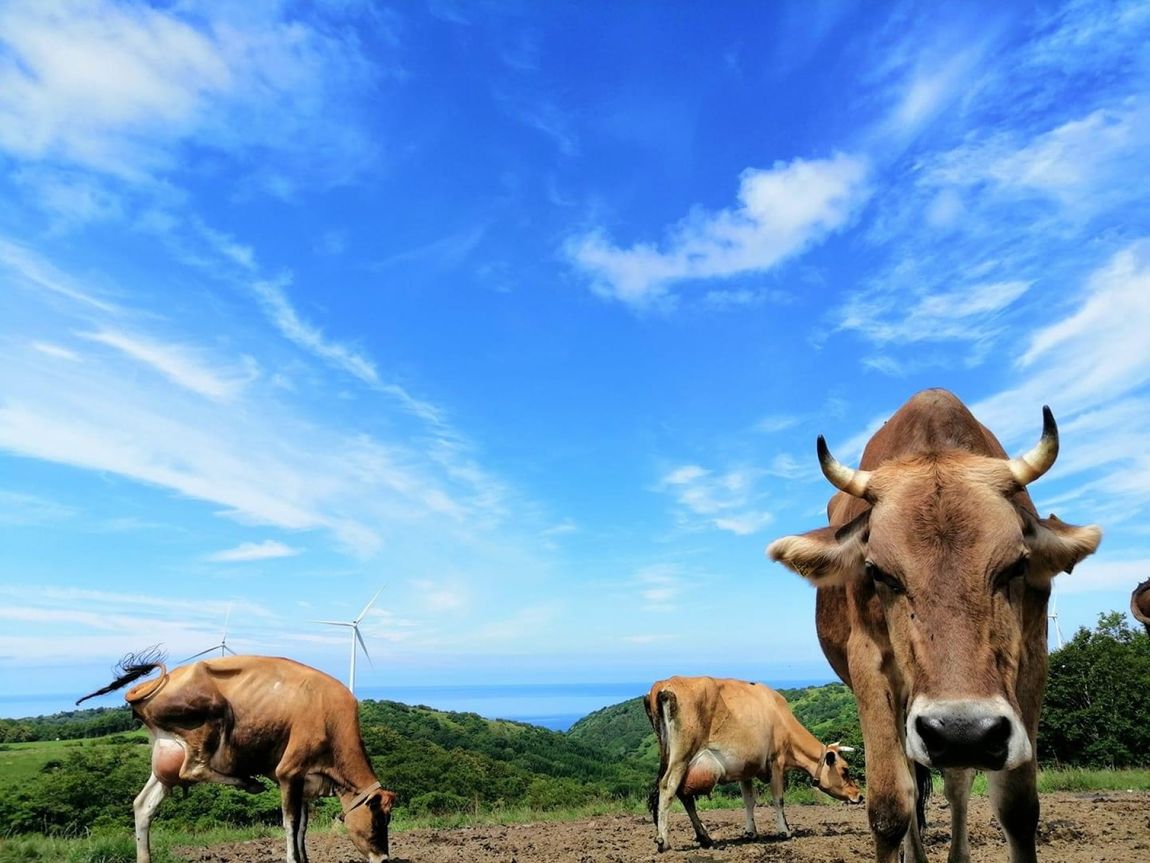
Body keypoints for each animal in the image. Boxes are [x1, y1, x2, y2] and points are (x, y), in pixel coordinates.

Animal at [78, 653, 397, 863]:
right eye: (377, 821)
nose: (384, 858)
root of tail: (156, 685)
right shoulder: (288, 771)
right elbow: (291, 824)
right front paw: (293, 859)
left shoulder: (304, 782)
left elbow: (303, 828)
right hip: (209, 719)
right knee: (193, 769)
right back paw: (248, 782)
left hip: (165, 761)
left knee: (143, 805)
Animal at [644, 676, 860, 851]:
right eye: (845, 770)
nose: (858, 795)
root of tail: (663, 685)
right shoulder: (776, 761)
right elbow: (778, 799)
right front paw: (784, 831)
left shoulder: (744, 768)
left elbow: (748, 800)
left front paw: (751, 832)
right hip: (682, 754)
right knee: (668, 787)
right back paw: (664, 841)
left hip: (673, 756)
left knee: (684, 795)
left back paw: (705, 838)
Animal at [768, 391, 1099, 863]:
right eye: (878, 572)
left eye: (1016, 566)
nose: (963, 731)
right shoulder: (869, 667)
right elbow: (890, 806)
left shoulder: (1033, 658)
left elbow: (1017, 808)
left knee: (955, 782)